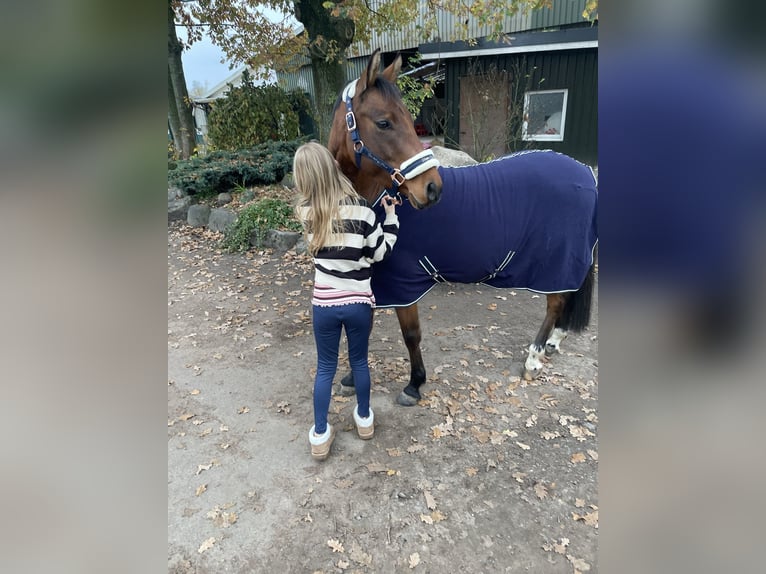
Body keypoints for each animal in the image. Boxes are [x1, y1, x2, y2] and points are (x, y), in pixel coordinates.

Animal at [330, 50, 600, 410]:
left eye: (407, 119)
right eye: (384, 122)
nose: (432, 189)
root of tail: (585, 172)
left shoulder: (403, 281)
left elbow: (410, 334)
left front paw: (414, 384)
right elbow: (365, 327)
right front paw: (350, 379)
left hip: (556, 262)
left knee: (556, 304)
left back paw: (534, 358)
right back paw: (554, 343)